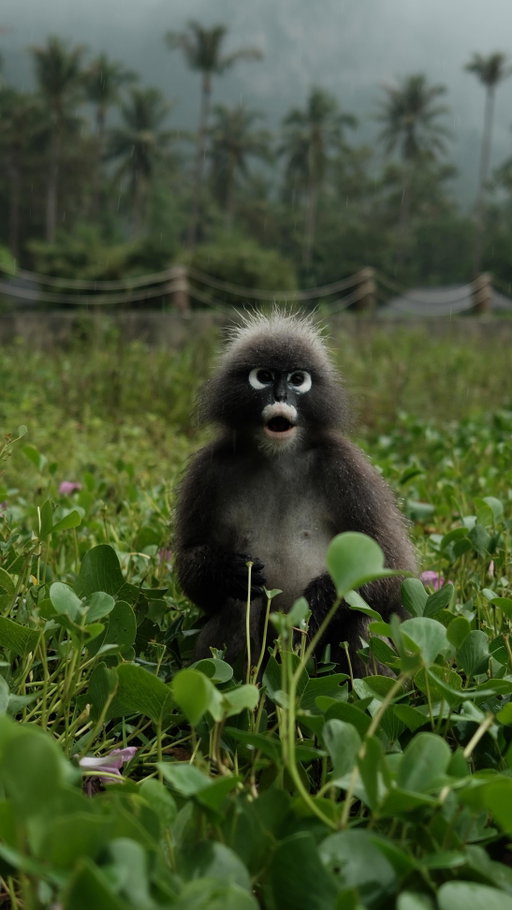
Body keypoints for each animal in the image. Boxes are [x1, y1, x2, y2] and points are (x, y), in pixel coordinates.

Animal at [174, 310, 417, 675]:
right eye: (263, 377)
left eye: (297, 379)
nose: (281, 396)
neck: (279, 455)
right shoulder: (208, 469)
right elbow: (193, 571)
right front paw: (227, 570)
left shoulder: (348, 468)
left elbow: (395, 570)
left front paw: (322, 598)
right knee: (240, 603)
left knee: (361, 618)